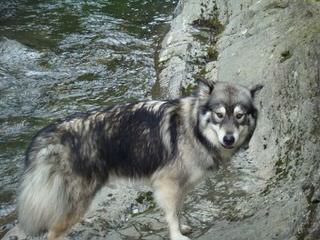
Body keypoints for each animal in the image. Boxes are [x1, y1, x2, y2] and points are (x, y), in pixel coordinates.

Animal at [16, 81, 262, 240]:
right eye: (219, 115)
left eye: (239, 116)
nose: (228, 139)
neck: (194, 129)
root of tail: (48, 135)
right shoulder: (167, 185)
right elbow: (171, 215)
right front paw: (177, 235)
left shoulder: (181, 188)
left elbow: (179, 211)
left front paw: (183, 227)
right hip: (77, 204)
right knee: (52, 233)